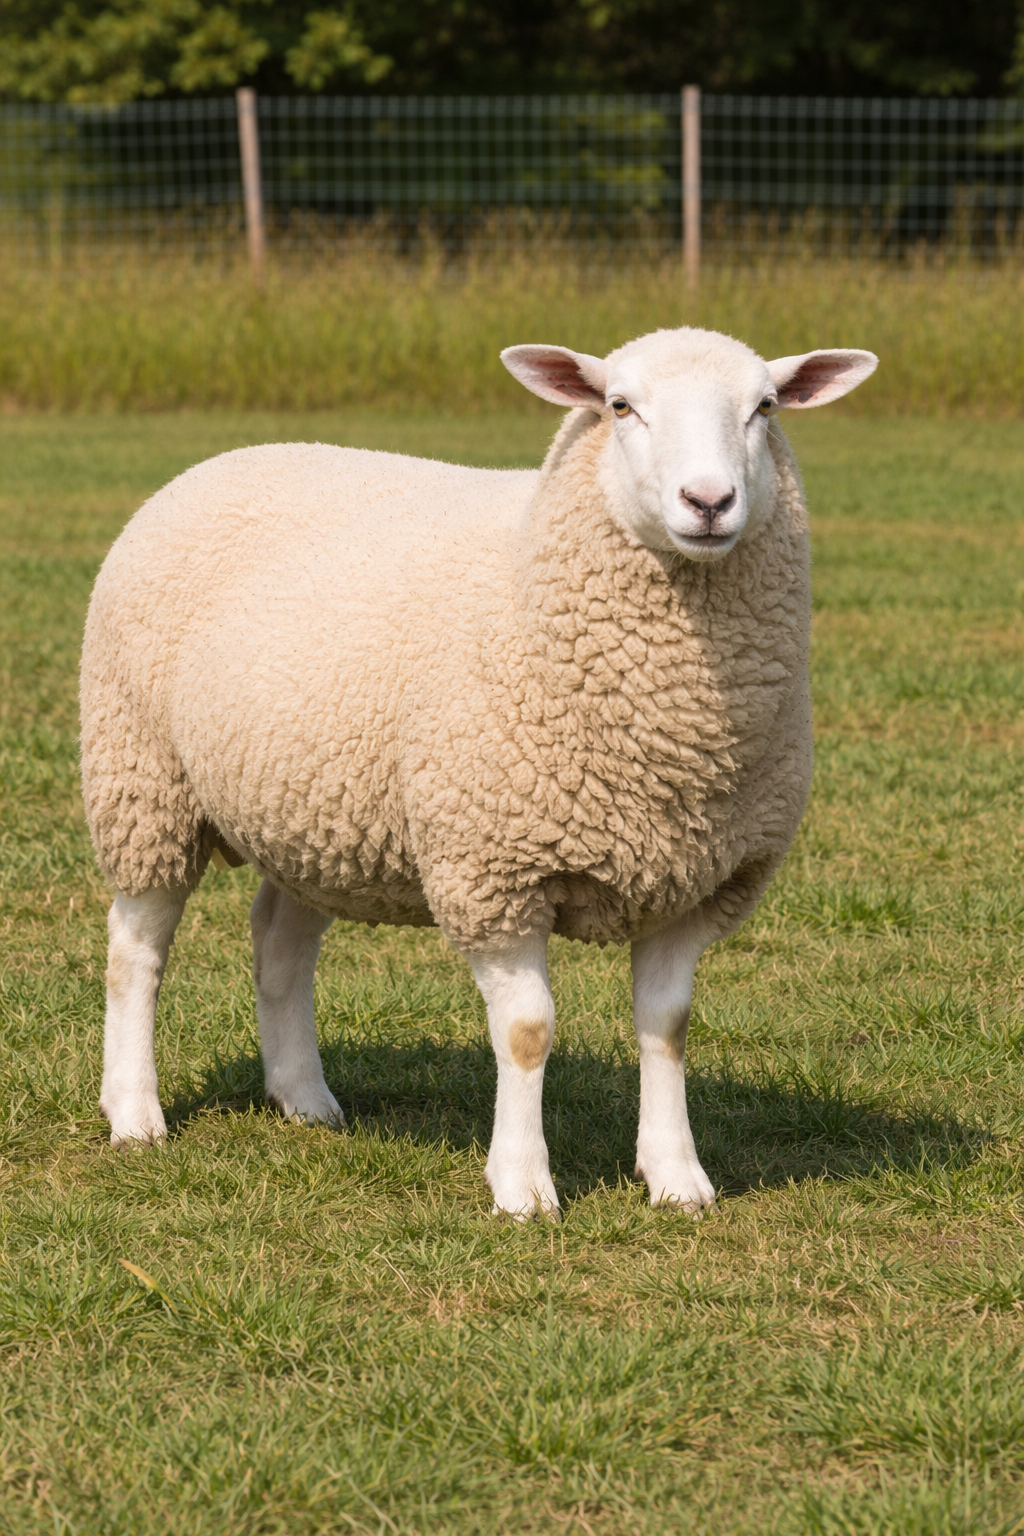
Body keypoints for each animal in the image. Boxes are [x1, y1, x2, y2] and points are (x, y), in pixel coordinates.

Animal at [80, 326, 876, 1219]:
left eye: (764, 407)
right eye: (620, 406)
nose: (708, 501)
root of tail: (225, 458)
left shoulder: (698, 879)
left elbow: (667, 1026)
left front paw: (677, 1176)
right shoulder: (495, 869)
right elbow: (528, 1032)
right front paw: (523, 1186)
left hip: (311, 807)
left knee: (280, 941)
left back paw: (304, 1097)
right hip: (142, 779)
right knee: (135, 950)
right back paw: (135, 1112)